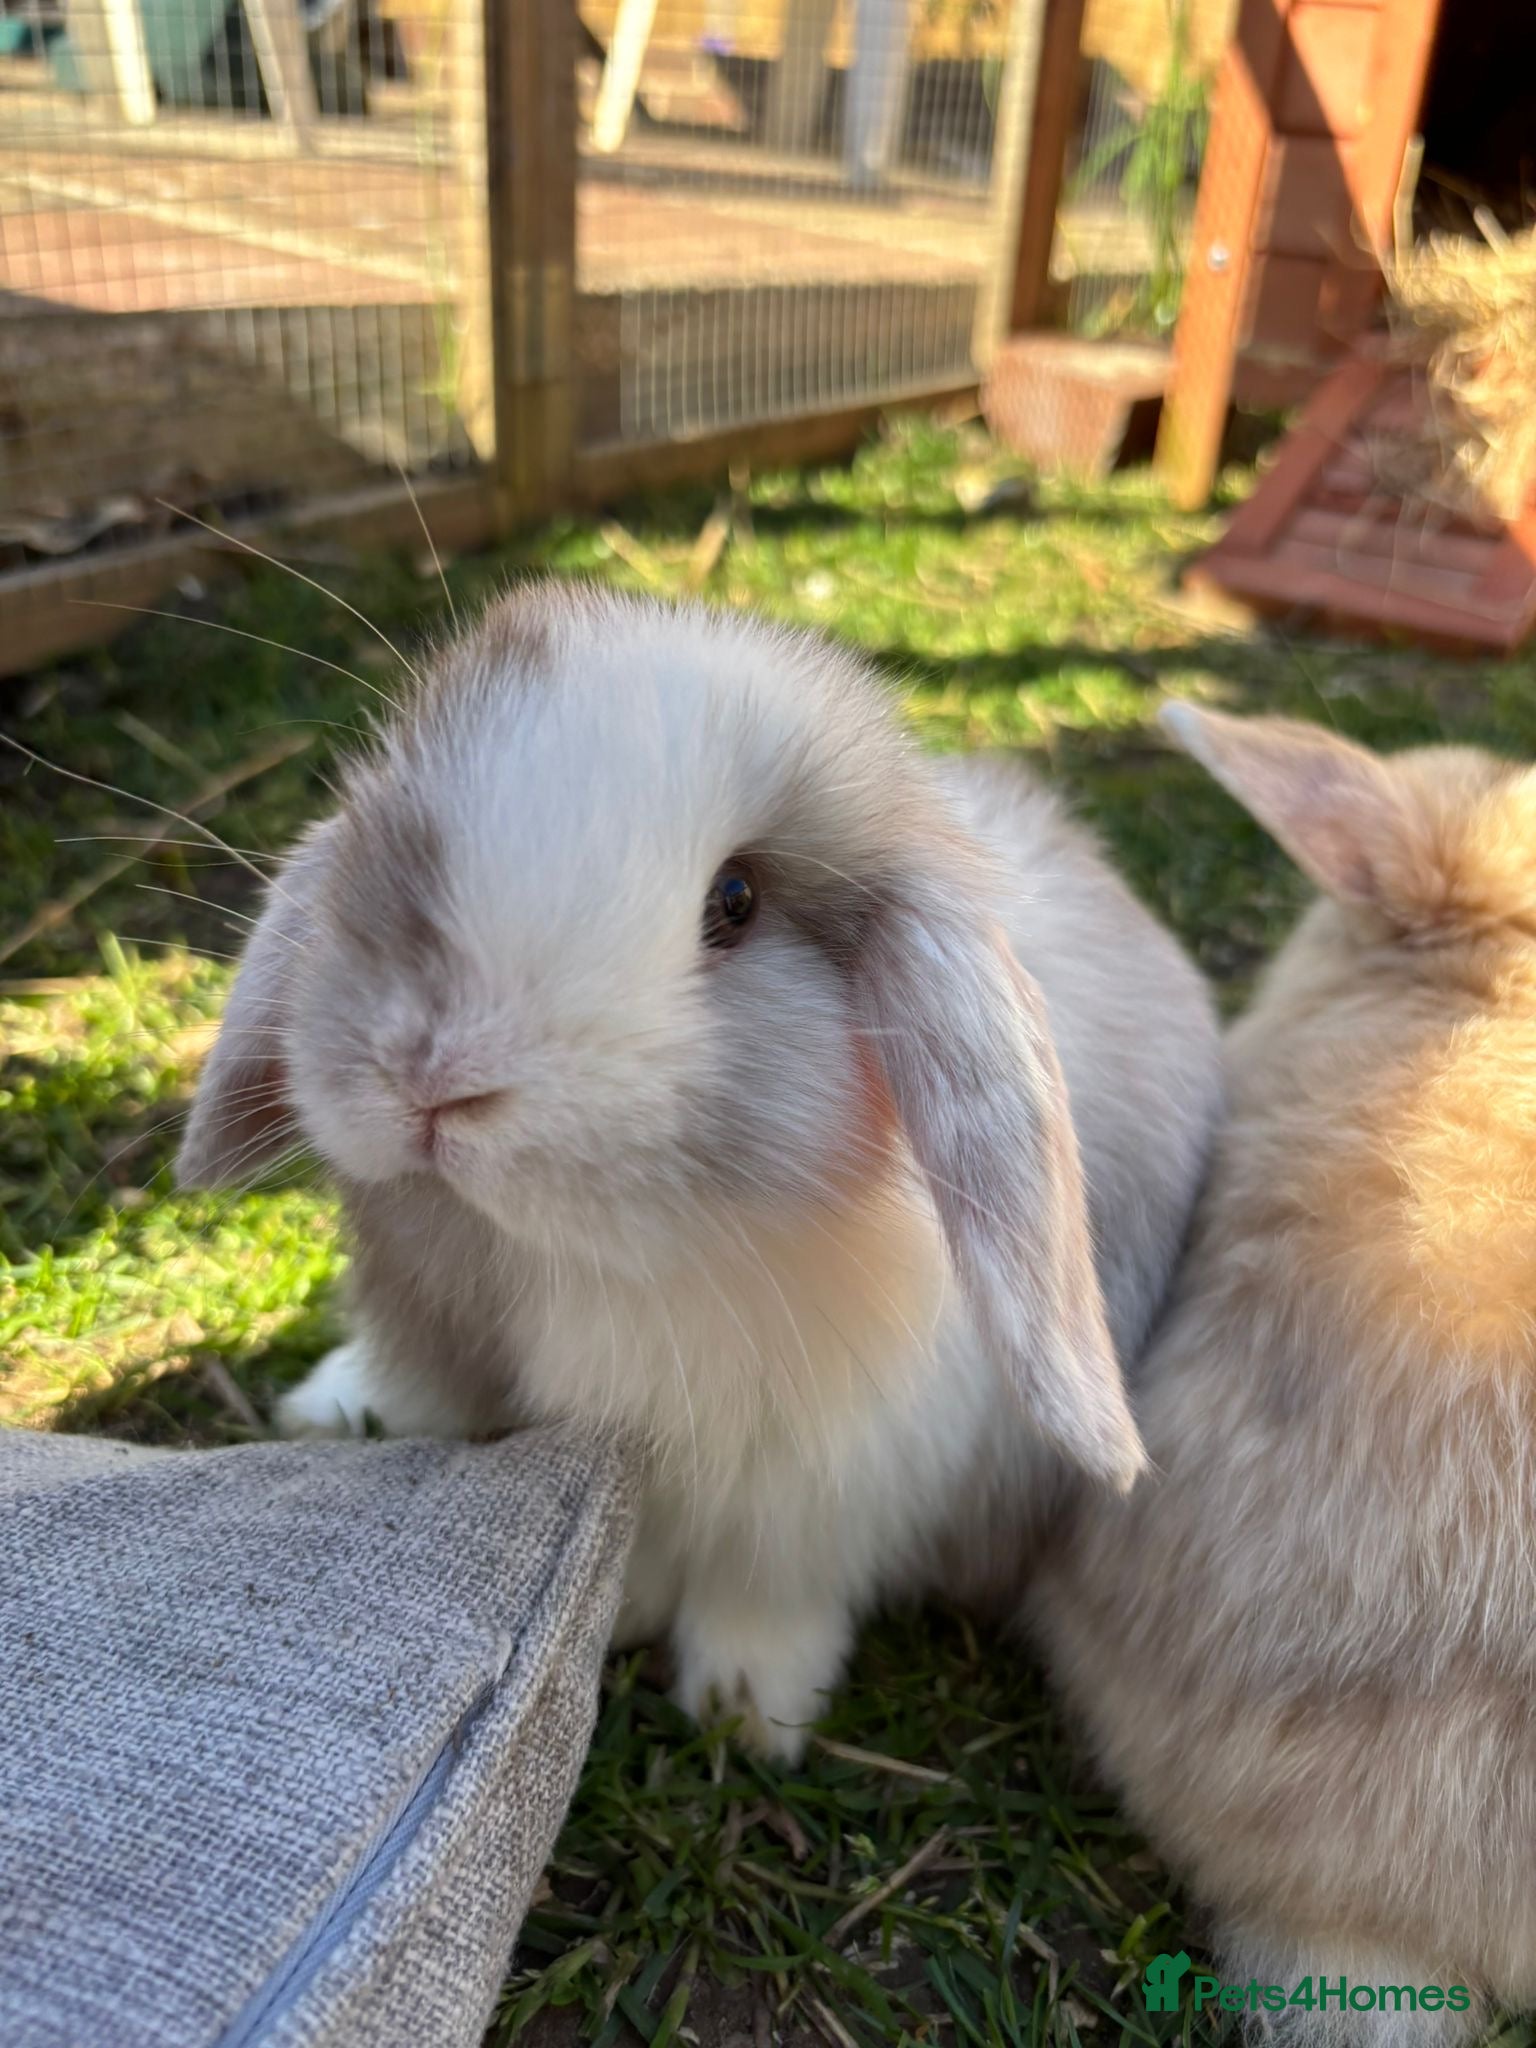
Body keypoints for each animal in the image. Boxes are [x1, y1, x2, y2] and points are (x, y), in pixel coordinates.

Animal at [177, 585, 1220, 1760]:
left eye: (736, 899)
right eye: (392, 823)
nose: (432, 1078)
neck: (603, 1265)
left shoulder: (830, 1489)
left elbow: (769, 1594)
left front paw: (749, 1712)